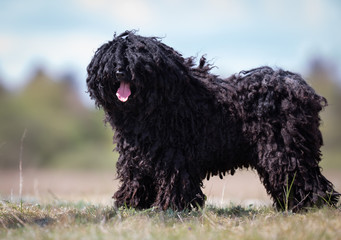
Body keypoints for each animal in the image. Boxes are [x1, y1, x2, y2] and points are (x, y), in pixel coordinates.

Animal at [85, 30, 338, 212]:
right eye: (111, 60)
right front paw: (130, 204)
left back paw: (314, 204)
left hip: (286, 149)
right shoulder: (136, 155)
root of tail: (300, 88)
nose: (120, 71)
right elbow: (135, 178)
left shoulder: (174, 155)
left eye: (137, 60)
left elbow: (174, 180)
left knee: (304, 176)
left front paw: (172, 207)